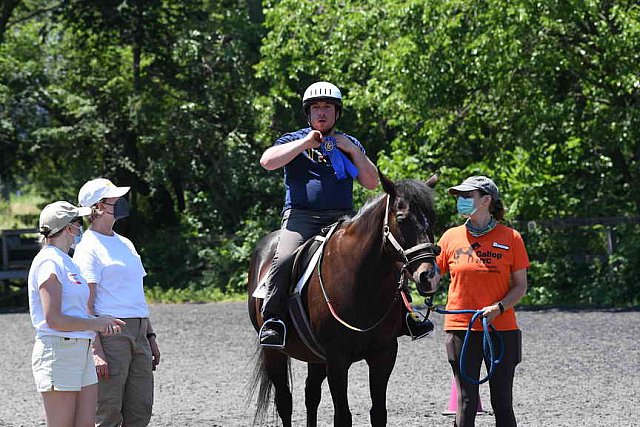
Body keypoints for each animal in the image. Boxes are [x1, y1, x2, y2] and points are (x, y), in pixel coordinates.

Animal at [248, 172, 438, 426]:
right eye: (401, 218)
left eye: (432, 218)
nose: (429, 276)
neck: (361, 282)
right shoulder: (337, 360)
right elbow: (342, 416)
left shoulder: (384, 354)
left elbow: (378, 413)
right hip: (274, 353)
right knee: (284, 401)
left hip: (315, 357)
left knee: (311, 395)